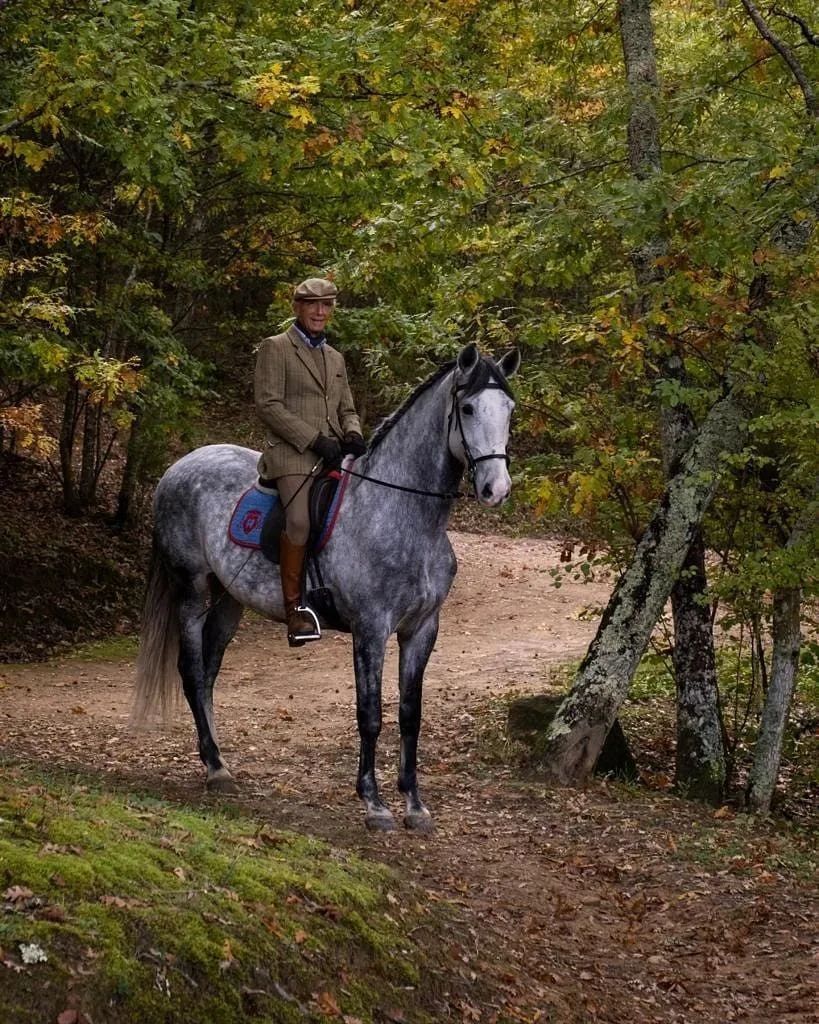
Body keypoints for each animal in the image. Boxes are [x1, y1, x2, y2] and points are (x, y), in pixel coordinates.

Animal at [133, 344, 518, 831]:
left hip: (228, 600)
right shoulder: (370, 629)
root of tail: (179, 466)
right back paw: (215, 768)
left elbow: (410, 716)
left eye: (509, 409)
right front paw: (375, 805)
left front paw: (415, 805)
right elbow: (370, 715)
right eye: (467, 408)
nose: (496, 489)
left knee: (208, 674)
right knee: (191, 670)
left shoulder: (422, 629)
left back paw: (218, 762)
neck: (403, 512)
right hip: (192, 591)